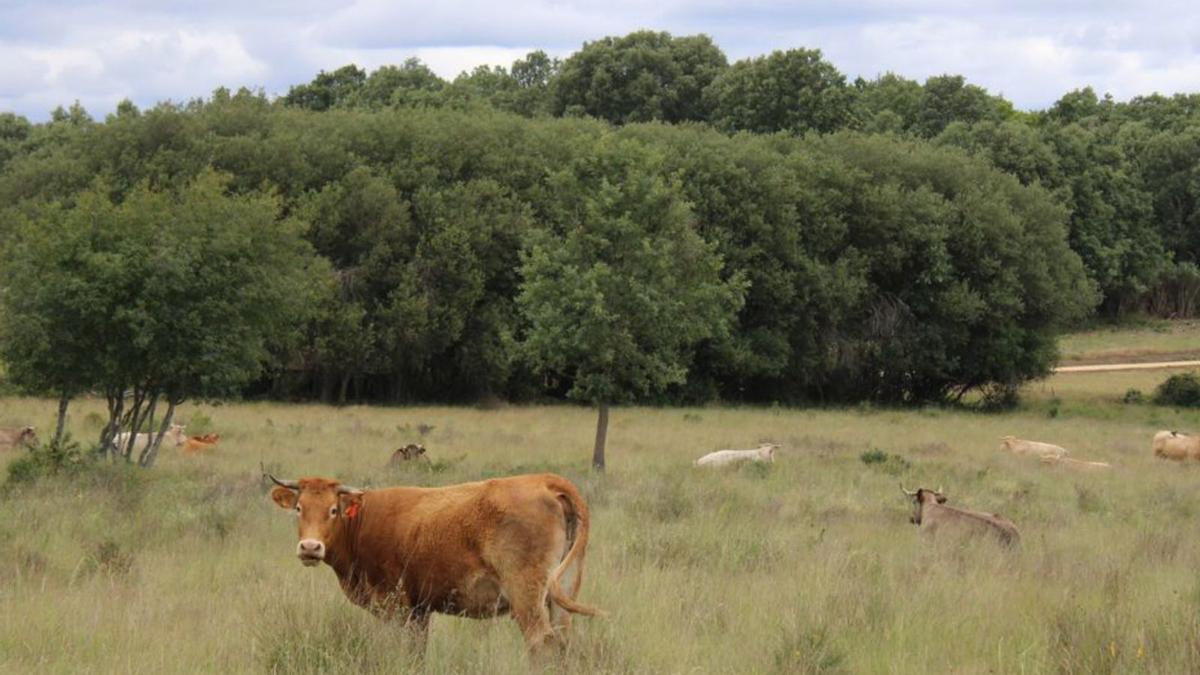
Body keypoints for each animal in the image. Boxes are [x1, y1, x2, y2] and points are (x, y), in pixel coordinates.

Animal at [264, 468, 600, 658]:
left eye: (333, 510)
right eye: (298, 508)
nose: (310, 547)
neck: (363, 522)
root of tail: (546, 481)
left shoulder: (395, 606)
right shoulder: (419, 610)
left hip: (526, 597)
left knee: (542, 644)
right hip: (561, 594)